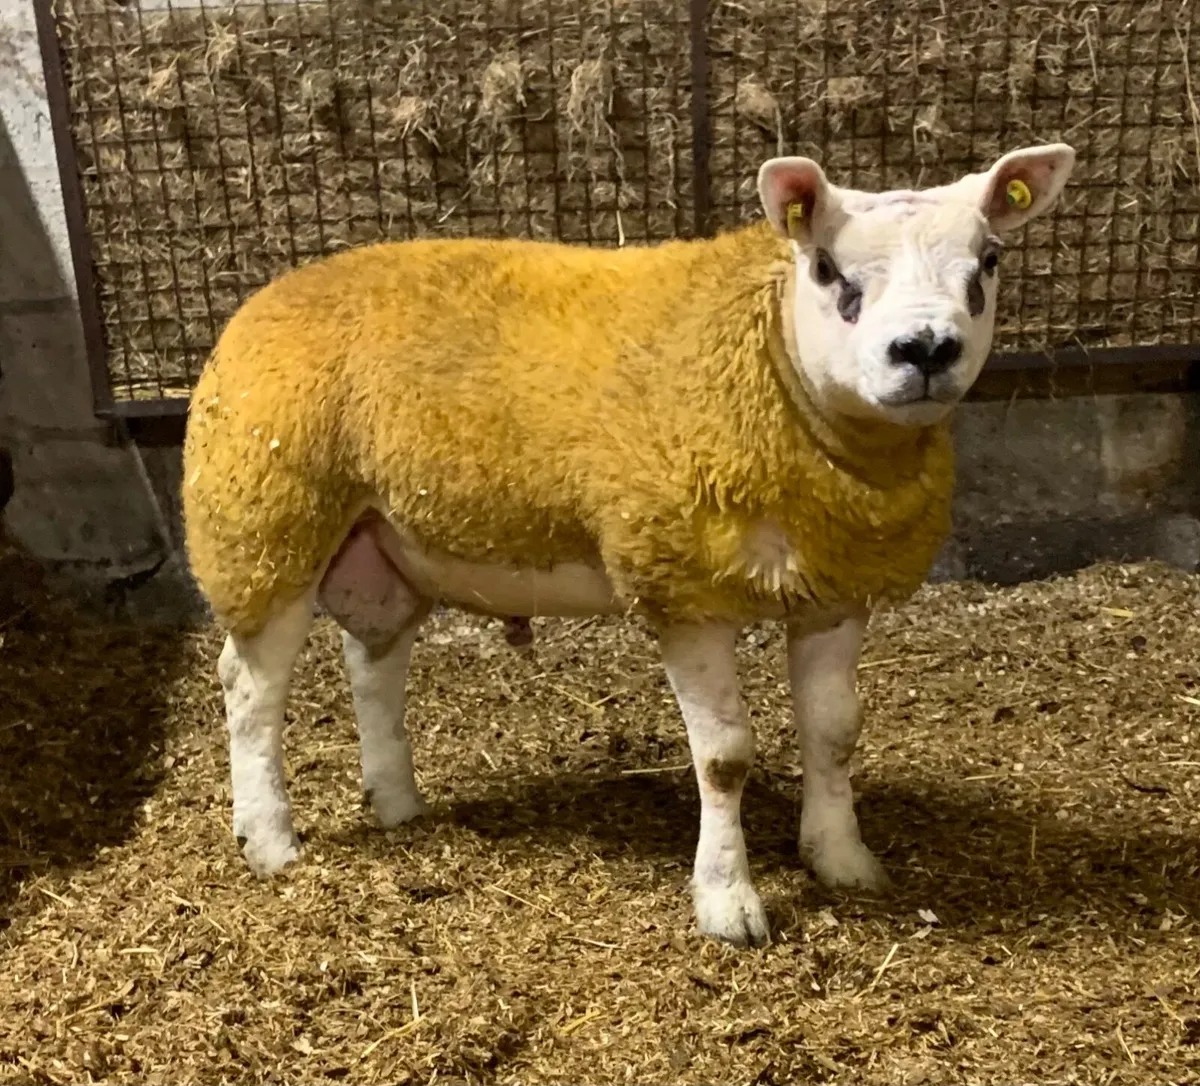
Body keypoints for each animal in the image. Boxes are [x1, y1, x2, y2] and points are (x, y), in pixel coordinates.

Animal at [183, 143, 1076, 947]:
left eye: (988, 262)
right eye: (828, 270)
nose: (925, 350)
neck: (768, 356)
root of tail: (261, 301)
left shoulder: (835, 589)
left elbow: (834, 731)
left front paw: (842, 858)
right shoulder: (681, 586)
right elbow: (724, 758)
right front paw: (727, 903)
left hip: (379, 547)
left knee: (373, 666)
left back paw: (398, 804)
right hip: (264, 526)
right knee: (250, 689)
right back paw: (270, 840)